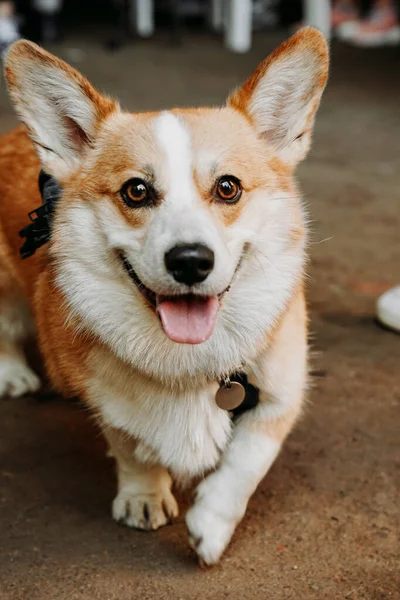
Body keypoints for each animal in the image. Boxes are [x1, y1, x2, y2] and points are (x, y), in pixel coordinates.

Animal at [0, 27, 328, 564]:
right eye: (136, 191)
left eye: (228, 188)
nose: (191, 261)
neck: (188, 359)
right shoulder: (107, 400)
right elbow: (132, 447)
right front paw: (144, 496)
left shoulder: (281, 392)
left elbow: (249, 459)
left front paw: (212, 525)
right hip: (5, 287)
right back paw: (13, 373)